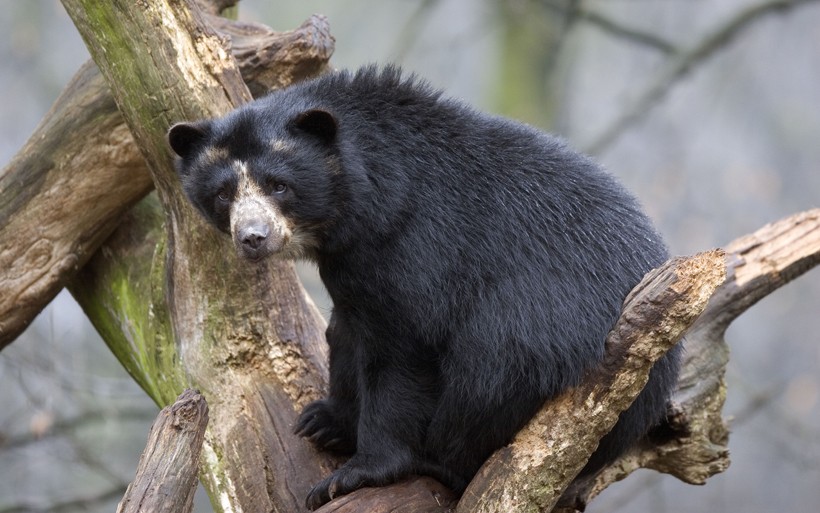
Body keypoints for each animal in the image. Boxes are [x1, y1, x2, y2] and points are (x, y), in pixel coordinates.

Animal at [167, 64, 680, 508]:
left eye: (279, 185)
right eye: (223, 194)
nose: (253, 238)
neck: (359, 208)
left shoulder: (416, 247)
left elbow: (403, 350)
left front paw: (353, 474)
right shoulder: (354, 268)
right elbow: (346, 331)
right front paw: (324, 421)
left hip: (541, 341)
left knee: (493, 365)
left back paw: (440, 463)